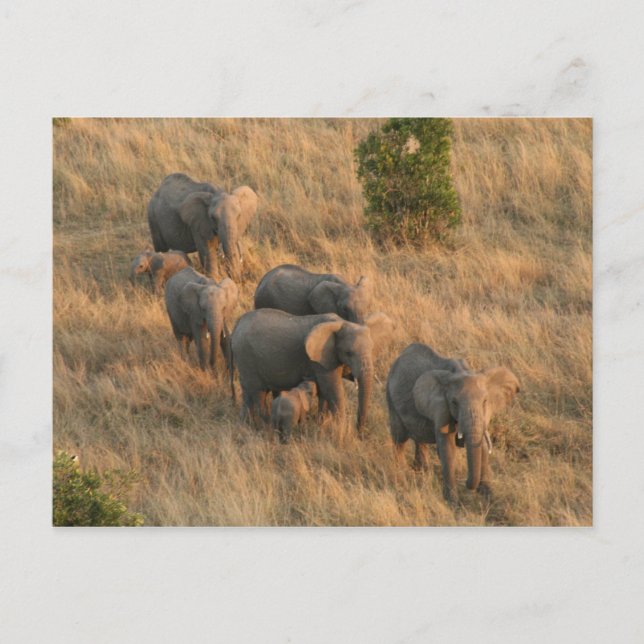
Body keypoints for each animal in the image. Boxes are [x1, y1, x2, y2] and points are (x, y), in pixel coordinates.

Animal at [230, 309, 393, 434]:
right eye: (348, 353)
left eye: (372, 349)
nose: (361, 433)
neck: (342, 322)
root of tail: (237, 324)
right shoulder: (319, 359)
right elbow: (333, 389)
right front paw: (339, 430)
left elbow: (324, 392)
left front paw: (322, 425)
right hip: (247, 358)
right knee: (259, 394)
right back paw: (266, 428)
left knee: (247, 393)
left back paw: (245, 426)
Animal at [386, 343, 520, 503]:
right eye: (454, 403)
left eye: (485, 401)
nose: (467, 485)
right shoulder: (441, 407)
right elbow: (448, 448)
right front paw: (453, 502)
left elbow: (481, 445)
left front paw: (489, 495)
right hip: (391, 400)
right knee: (399, 441)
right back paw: (402, 476)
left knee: (419, 439)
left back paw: (421, 470)